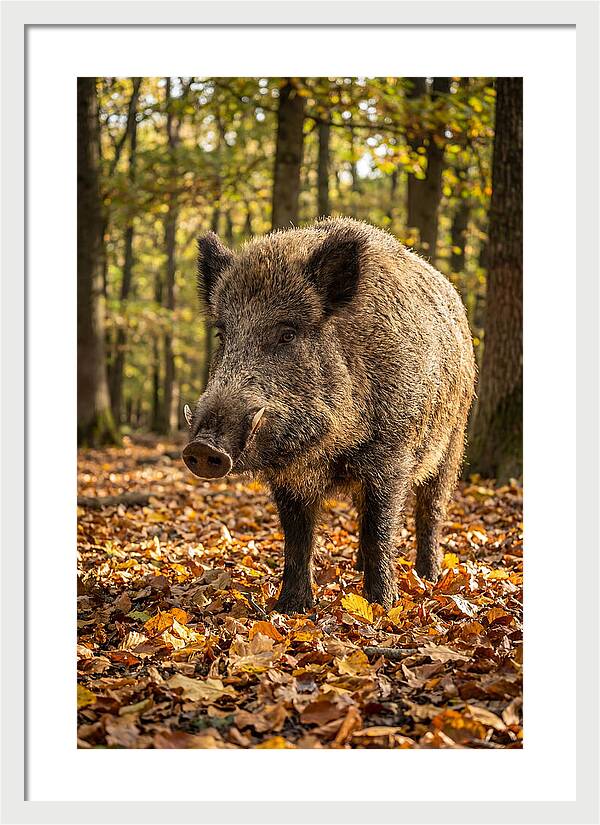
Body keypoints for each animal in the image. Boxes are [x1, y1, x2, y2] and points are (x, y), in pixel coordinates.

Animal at [182, 217, 475, 614]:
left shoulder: (391, 456)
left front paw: (381, 606)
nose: (202, 448)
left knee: (431, 510)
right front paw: (290, 608)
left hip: (453, 440)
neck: (327, 449)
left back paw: (428, 577)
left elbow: (380, 529)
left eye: (288, 334)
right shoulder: (289, 477)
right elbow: (297, 538)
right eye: (222, 334)